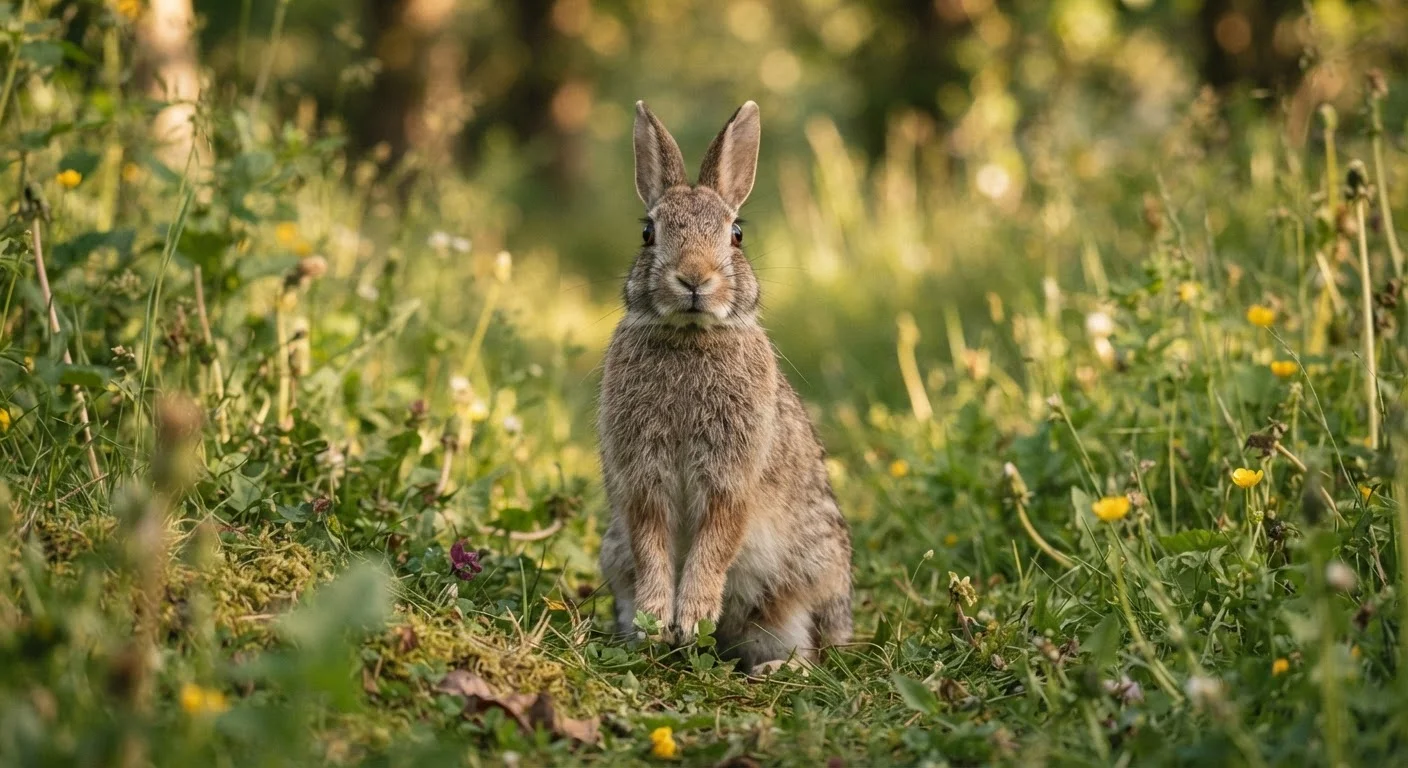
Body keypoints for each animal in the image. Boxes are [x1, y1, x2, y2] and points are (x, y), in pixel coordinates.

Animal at [597, 100, 853, 673]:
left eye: (736, 234)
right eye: (648, 233)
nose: (694, 278)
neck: (692, 336)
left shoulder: (732, 476)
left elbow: (716, 540)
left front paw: (691, 618)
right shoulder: (643, 478)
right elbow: (651, 541)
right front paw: (657, 622)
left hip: (801, 583)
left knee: (812, 654)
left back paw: (774, 668)